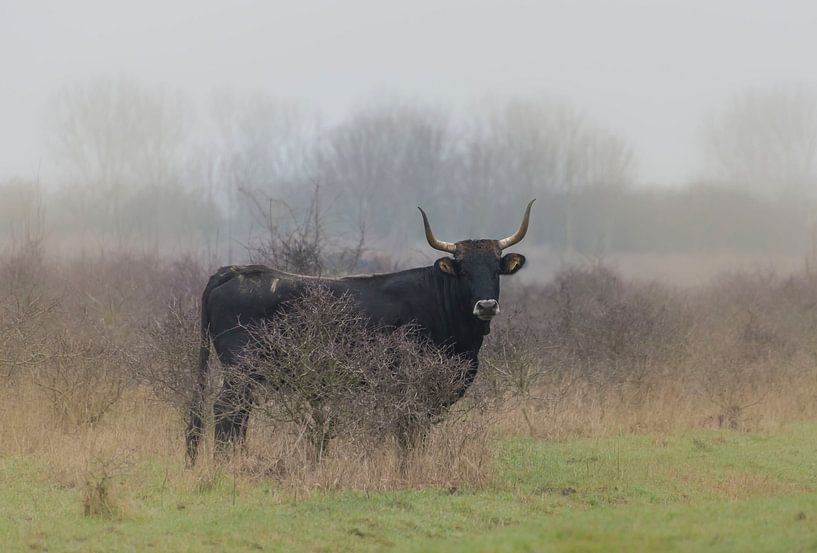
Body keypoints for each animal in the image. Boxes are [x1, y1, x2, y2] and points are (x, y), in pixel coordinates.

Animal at [183, 199, 536, 462]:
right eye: (463, 271)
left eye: (495, 269)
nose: (486, 305)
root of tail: (234, 271)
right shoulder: (413, 387)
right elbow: (410, 431)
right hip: (240, 369)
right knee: (226, 411)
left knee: (239, 413)